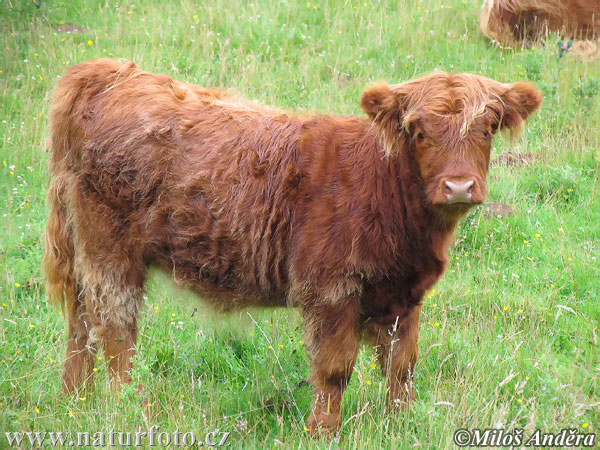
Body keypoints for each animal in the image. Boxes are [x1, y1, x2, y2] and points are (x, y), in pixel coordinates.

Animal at [42, 58, 540, 434]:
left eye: (487, 128)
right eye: (418, 131)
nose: (458, 186)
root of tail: (113, 72)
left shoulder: (405, 296)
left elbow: (402, 367)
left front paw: (399, 426)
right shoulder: (331, 290)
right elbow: (335, 369)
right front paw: (323, 431)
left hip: (90, 252)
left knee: (81, 320)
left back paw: (74, 399)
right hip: (111, 251)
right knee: (115, 330)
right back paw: (131, 407)